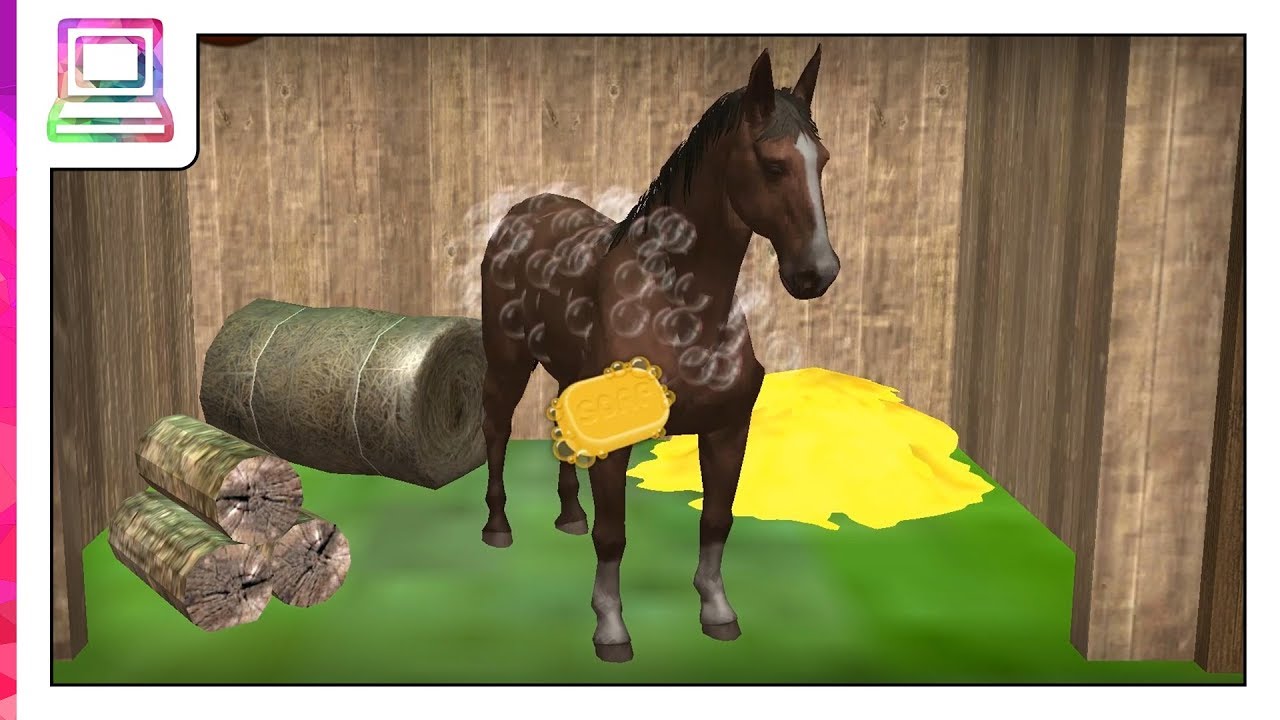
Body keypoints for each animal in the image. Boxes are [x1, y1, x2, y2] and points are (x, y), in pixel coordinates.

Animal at [477, 46, 839, 663]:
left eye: (823, 162)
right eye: (772, 165)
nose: (818, 272)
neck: (679, 305)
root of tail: (523, 210)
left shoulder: (727, 430)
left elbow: (717, 520)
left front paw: (717, 611)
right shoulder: (618, 444)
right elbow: (613, 535)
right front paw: (610, 628)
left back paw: (569, 516)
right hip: (507, 361)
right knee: (497, 430)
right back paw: (498, 527)